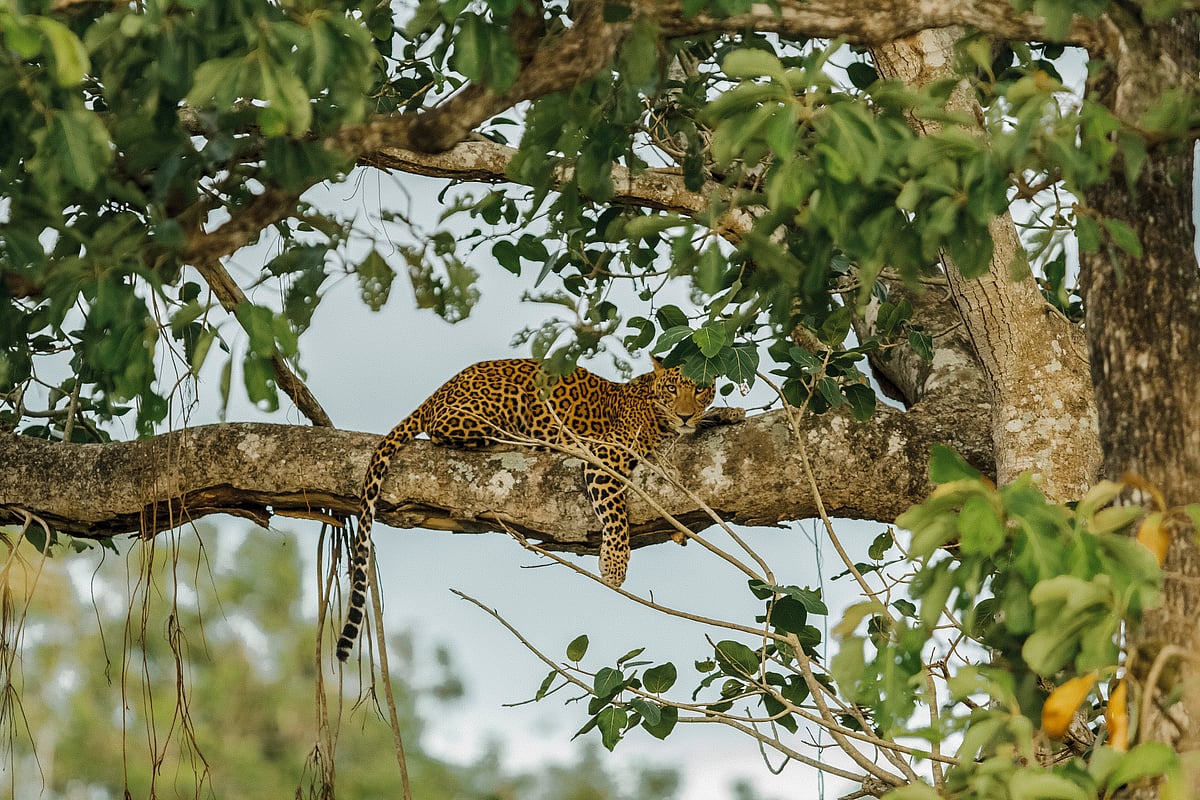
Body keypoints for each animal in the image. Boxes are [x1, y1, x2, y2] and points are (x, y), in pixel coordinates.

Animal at [335, 357, 744, 662]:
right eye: (672, 389)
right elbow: (615, 514)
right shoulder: (604, 457)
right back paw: (522, 443)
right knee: (445, 431)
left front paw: (729, 412)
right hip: (499, 404)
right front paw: (614, 566)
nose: (686, 415)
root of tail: (438, 390)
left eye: (700, 389)